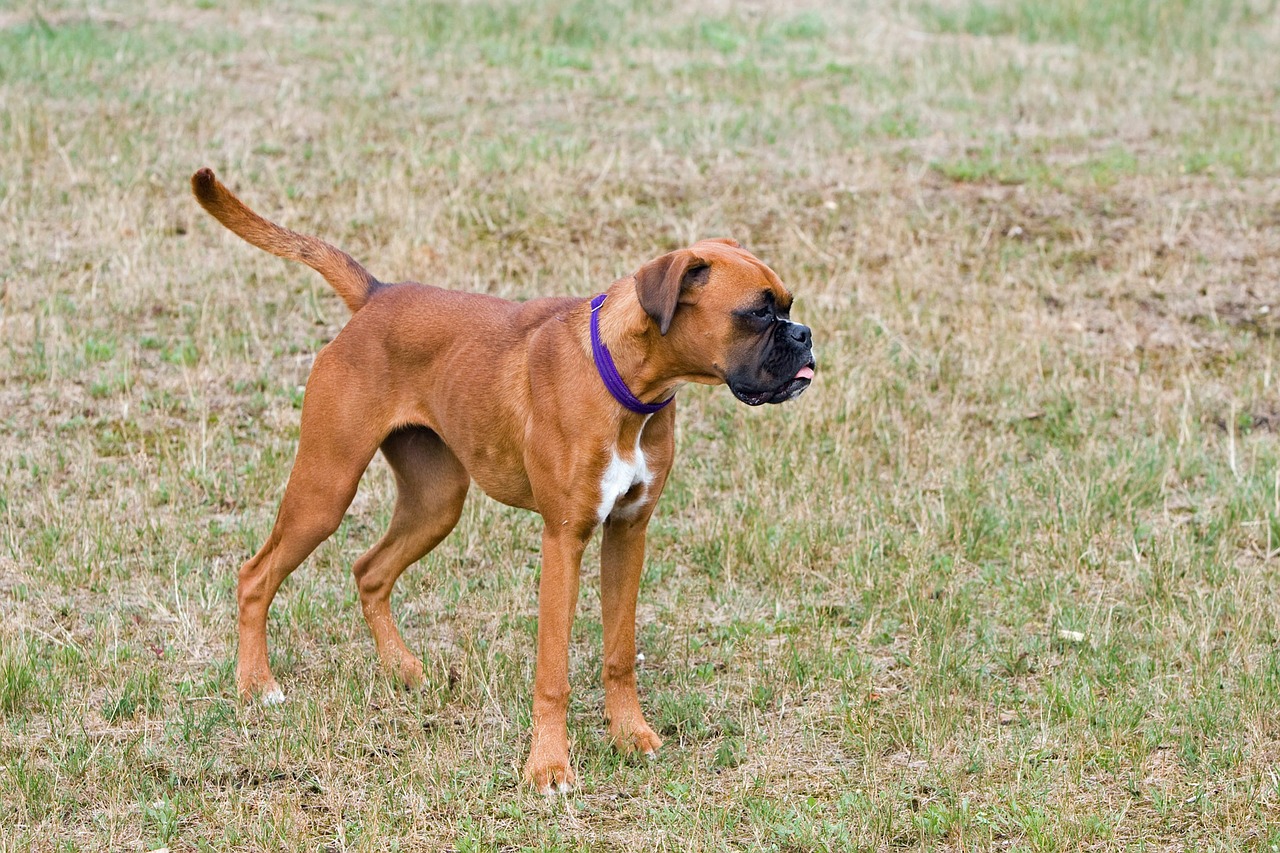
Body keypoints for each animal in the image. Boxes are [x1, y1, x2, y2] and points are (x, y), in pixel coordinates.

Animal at [188, 167, 814, 788]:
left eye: (786, 305)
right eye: (759, 313)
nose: (804, 334)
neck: (625, 381)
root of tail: (377, 294)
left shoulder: (627, 533)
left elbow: (618, 653)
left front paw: (630, 736)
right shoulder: (565, 538)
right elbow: (553, 671)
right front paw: (549, 766)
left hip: (436, 504)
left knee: (369, 571)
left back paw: (402, 669)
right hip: (326, 489)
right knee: (255, 575)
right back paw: (258, 686)